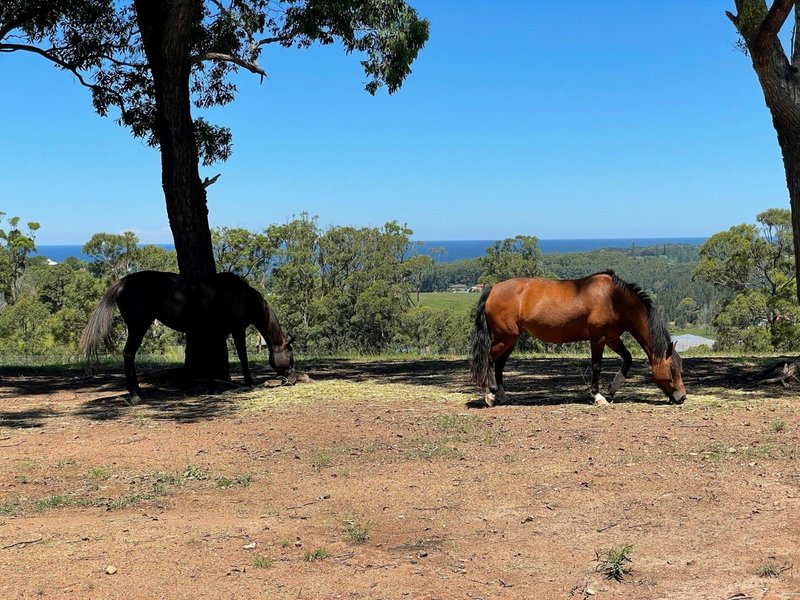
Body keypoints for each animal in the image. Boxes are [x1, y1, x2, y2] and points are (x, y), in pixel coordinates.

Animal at [79, 272, 294, 404]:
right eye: (291, 357)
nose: (291, 380)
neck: (242, 296)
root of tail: (122, 282)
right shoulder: (237, 330)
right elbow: (242, 356)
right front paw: (249, 384)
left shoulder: (218, 332)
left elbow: (211, 355)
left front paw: (213, 386)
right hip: (138, 327)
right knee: (128, 354)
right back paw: (135, 395)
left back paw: (139, 392)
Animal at [468, 272, 688, 408]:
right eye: (672, 370)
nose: (682, 397)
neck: (614, 299)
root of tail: (493, 288)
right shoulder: (598, 338)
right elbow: (597, 366)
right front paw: (598, 396)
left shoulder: (612, 338)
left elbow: (628, 358)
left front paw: (613, 387)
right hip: (505, 337)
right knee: (490, 360)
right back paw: (490, 395)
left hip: (510, 339)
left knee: (499, 364)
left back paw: (502, 395)